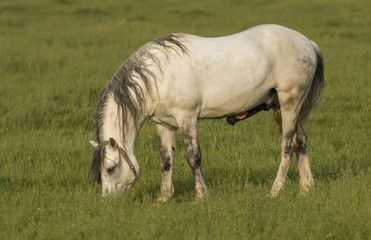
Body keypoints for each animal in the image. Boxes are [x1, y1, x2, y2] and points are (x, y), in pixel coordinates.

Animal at [89, 24, 322, 201]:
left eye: (110, 169)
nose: (107, 201)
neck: (160, 75)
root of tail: (309, 43)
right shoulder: (164, 124)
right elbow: (166, 161)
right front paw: (164, 198)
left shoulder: (187, 118)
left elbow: (194, 157)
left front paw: (201, 195)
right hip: (281, 107)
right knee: (301, 141)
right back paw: (306, 188)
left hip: (290, 103)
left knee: (288, 145)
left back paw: (276, 190)